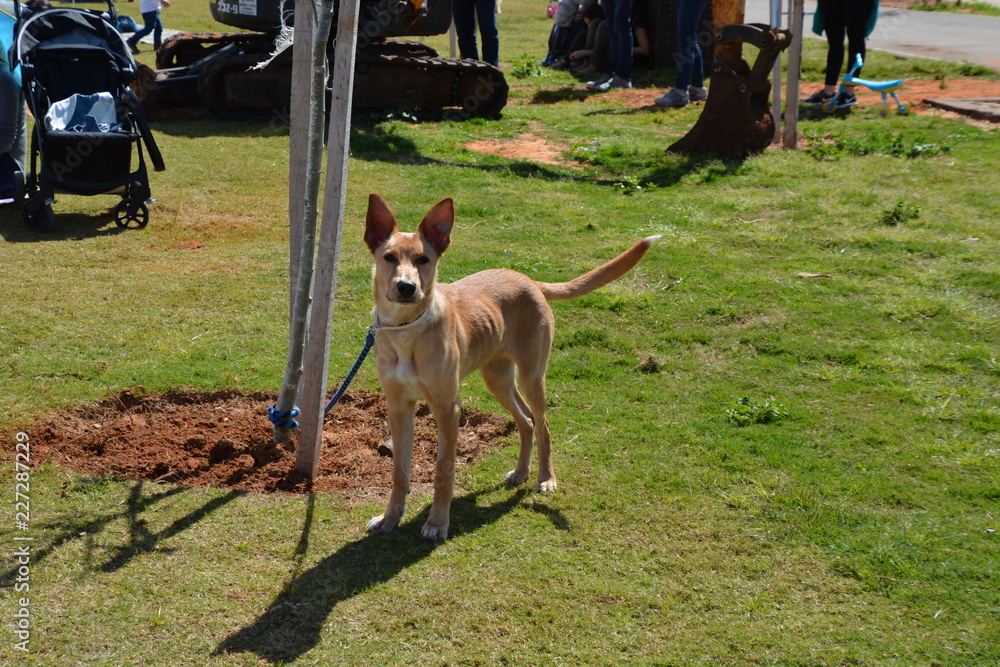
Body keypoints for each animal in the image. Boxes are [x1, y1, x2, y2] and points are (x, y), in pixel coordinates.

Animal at [364, 194, 660, 544]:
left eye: (424, 259)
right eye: (389, 257)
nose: (407, 287)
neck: (406, 330)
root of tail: (529, 280)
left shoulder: (447, 407)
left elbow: (444, 471)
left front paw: (437, 523)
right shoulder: (398, 406)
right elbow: (399, 472)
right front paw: (389, 518)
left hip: (533, 376)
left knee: (543, 424)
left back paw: (546, 478)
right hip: (498, 378)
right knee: (526, 421)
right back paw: (521, 472)